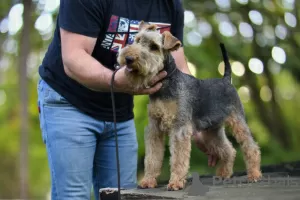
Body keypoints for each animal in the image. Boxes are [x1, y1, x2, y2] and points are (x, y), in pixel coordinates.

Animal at [116, 21, 262, 191]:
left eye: (153, 47)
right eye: (137, 40)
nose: (128, 58)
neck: (166, 85)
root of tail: (226, 79)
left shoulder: (179, 128)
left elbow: (178, 158)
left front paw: (175, 182)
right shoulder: (154, 128)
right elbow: (152, 158)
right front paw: (148, 181)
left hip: (238, 122)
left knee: (251, 147)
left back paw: (254, 174)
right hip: (212, 131)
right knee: (228, 150)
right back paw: (224, 173)